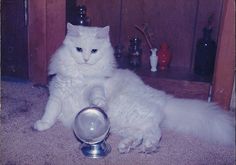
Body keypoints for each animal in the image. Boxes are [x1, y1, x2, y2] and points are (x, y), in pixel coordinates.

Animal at [34, 22, 235, 153]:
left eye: (94, 51)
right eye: (78, 49)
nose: (85, 59)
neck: (82, 75)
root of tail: (164, 100)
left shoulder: (95, 85)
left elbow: (95, 93)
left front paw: (99, 102)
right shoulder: (57, 95)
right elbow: (50, 112)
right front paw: (42, 125)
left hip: (132, 113)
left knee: (155, 131)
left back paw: (148, 147)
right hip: (120, 124)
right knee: (141, 133)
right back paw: (127, 146)